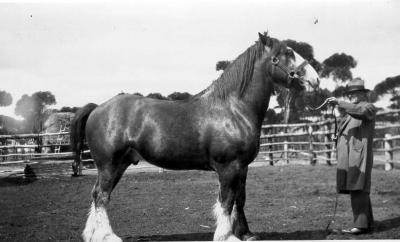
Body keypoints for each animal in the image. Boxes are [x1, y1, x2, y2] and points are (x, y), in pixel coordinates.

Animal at [72, 32, 318, 242]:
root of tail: (98, 108)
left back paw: (93, 234)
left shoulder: (243, 167)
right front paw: (226, 235)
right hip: (109, 164)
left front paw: (246, 233)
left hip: (120, 164)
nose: (315, 79)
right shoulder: (229, 167)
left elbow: (240, 198)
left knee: (98, 196)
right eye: (286, 53)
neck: (233, 108)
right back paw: (107, 236)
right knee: (101, 196)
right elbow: (226, 201)